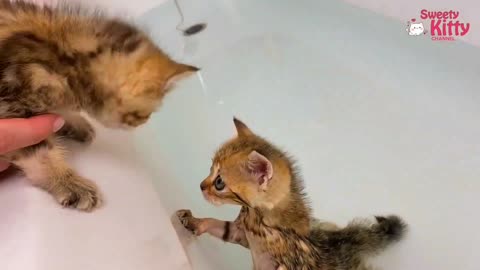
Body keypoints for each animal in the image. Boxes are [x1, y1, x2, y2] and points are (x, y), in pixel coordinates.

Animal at [0, 0, 199, 211]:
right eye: (142, 115)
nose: (144, 122)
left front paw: (73, 123)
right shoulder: (11, 104)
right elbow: (41, 153)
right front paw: (69, 183)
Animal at [176, 118, 404, 270]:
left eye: (219, 182)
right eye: (210, 170)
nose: (201, 186)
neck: (256, 218)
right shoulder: (240, 233)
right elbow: (218, 225)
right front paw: (196, 222)